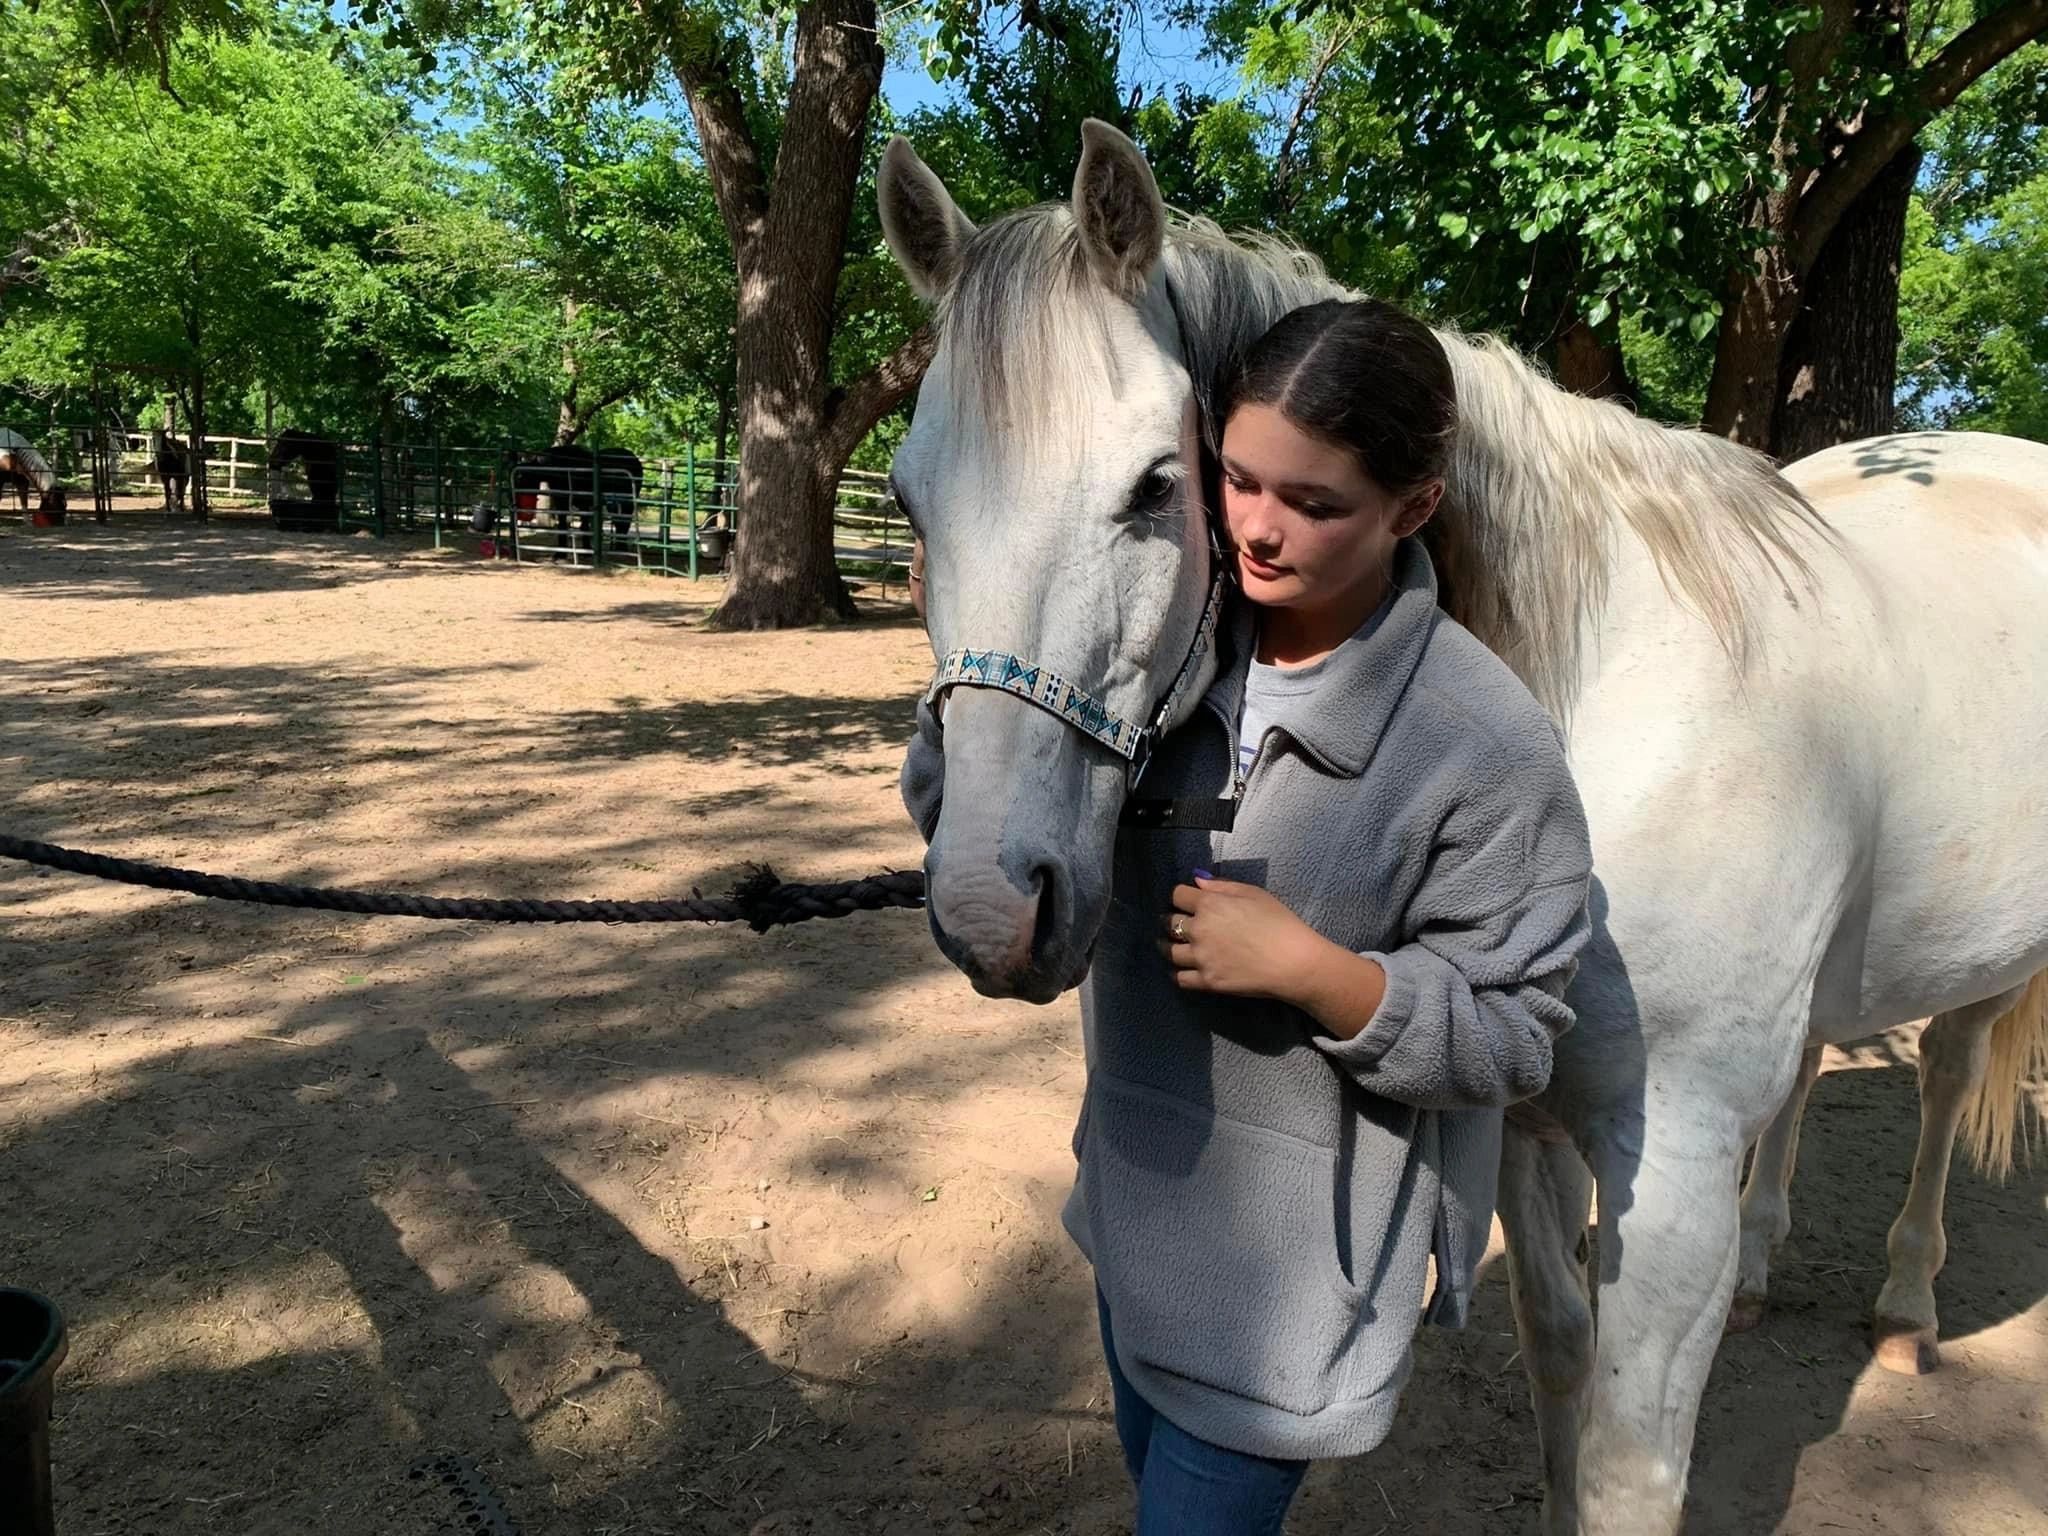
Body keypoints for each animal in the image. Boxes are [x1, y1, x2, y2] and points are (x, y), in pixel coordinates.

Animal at [880, 123, 2048, 1536]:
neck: (1597, 717)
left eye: (1158, 485)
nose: (991, 905)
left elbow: (1629, 1469)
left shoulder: (1670, 1176)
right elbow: (1558, 1366)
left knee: (1940, 1076)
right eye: (909, 500)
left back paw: (1905, 1304)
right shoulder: (1527, 1122)